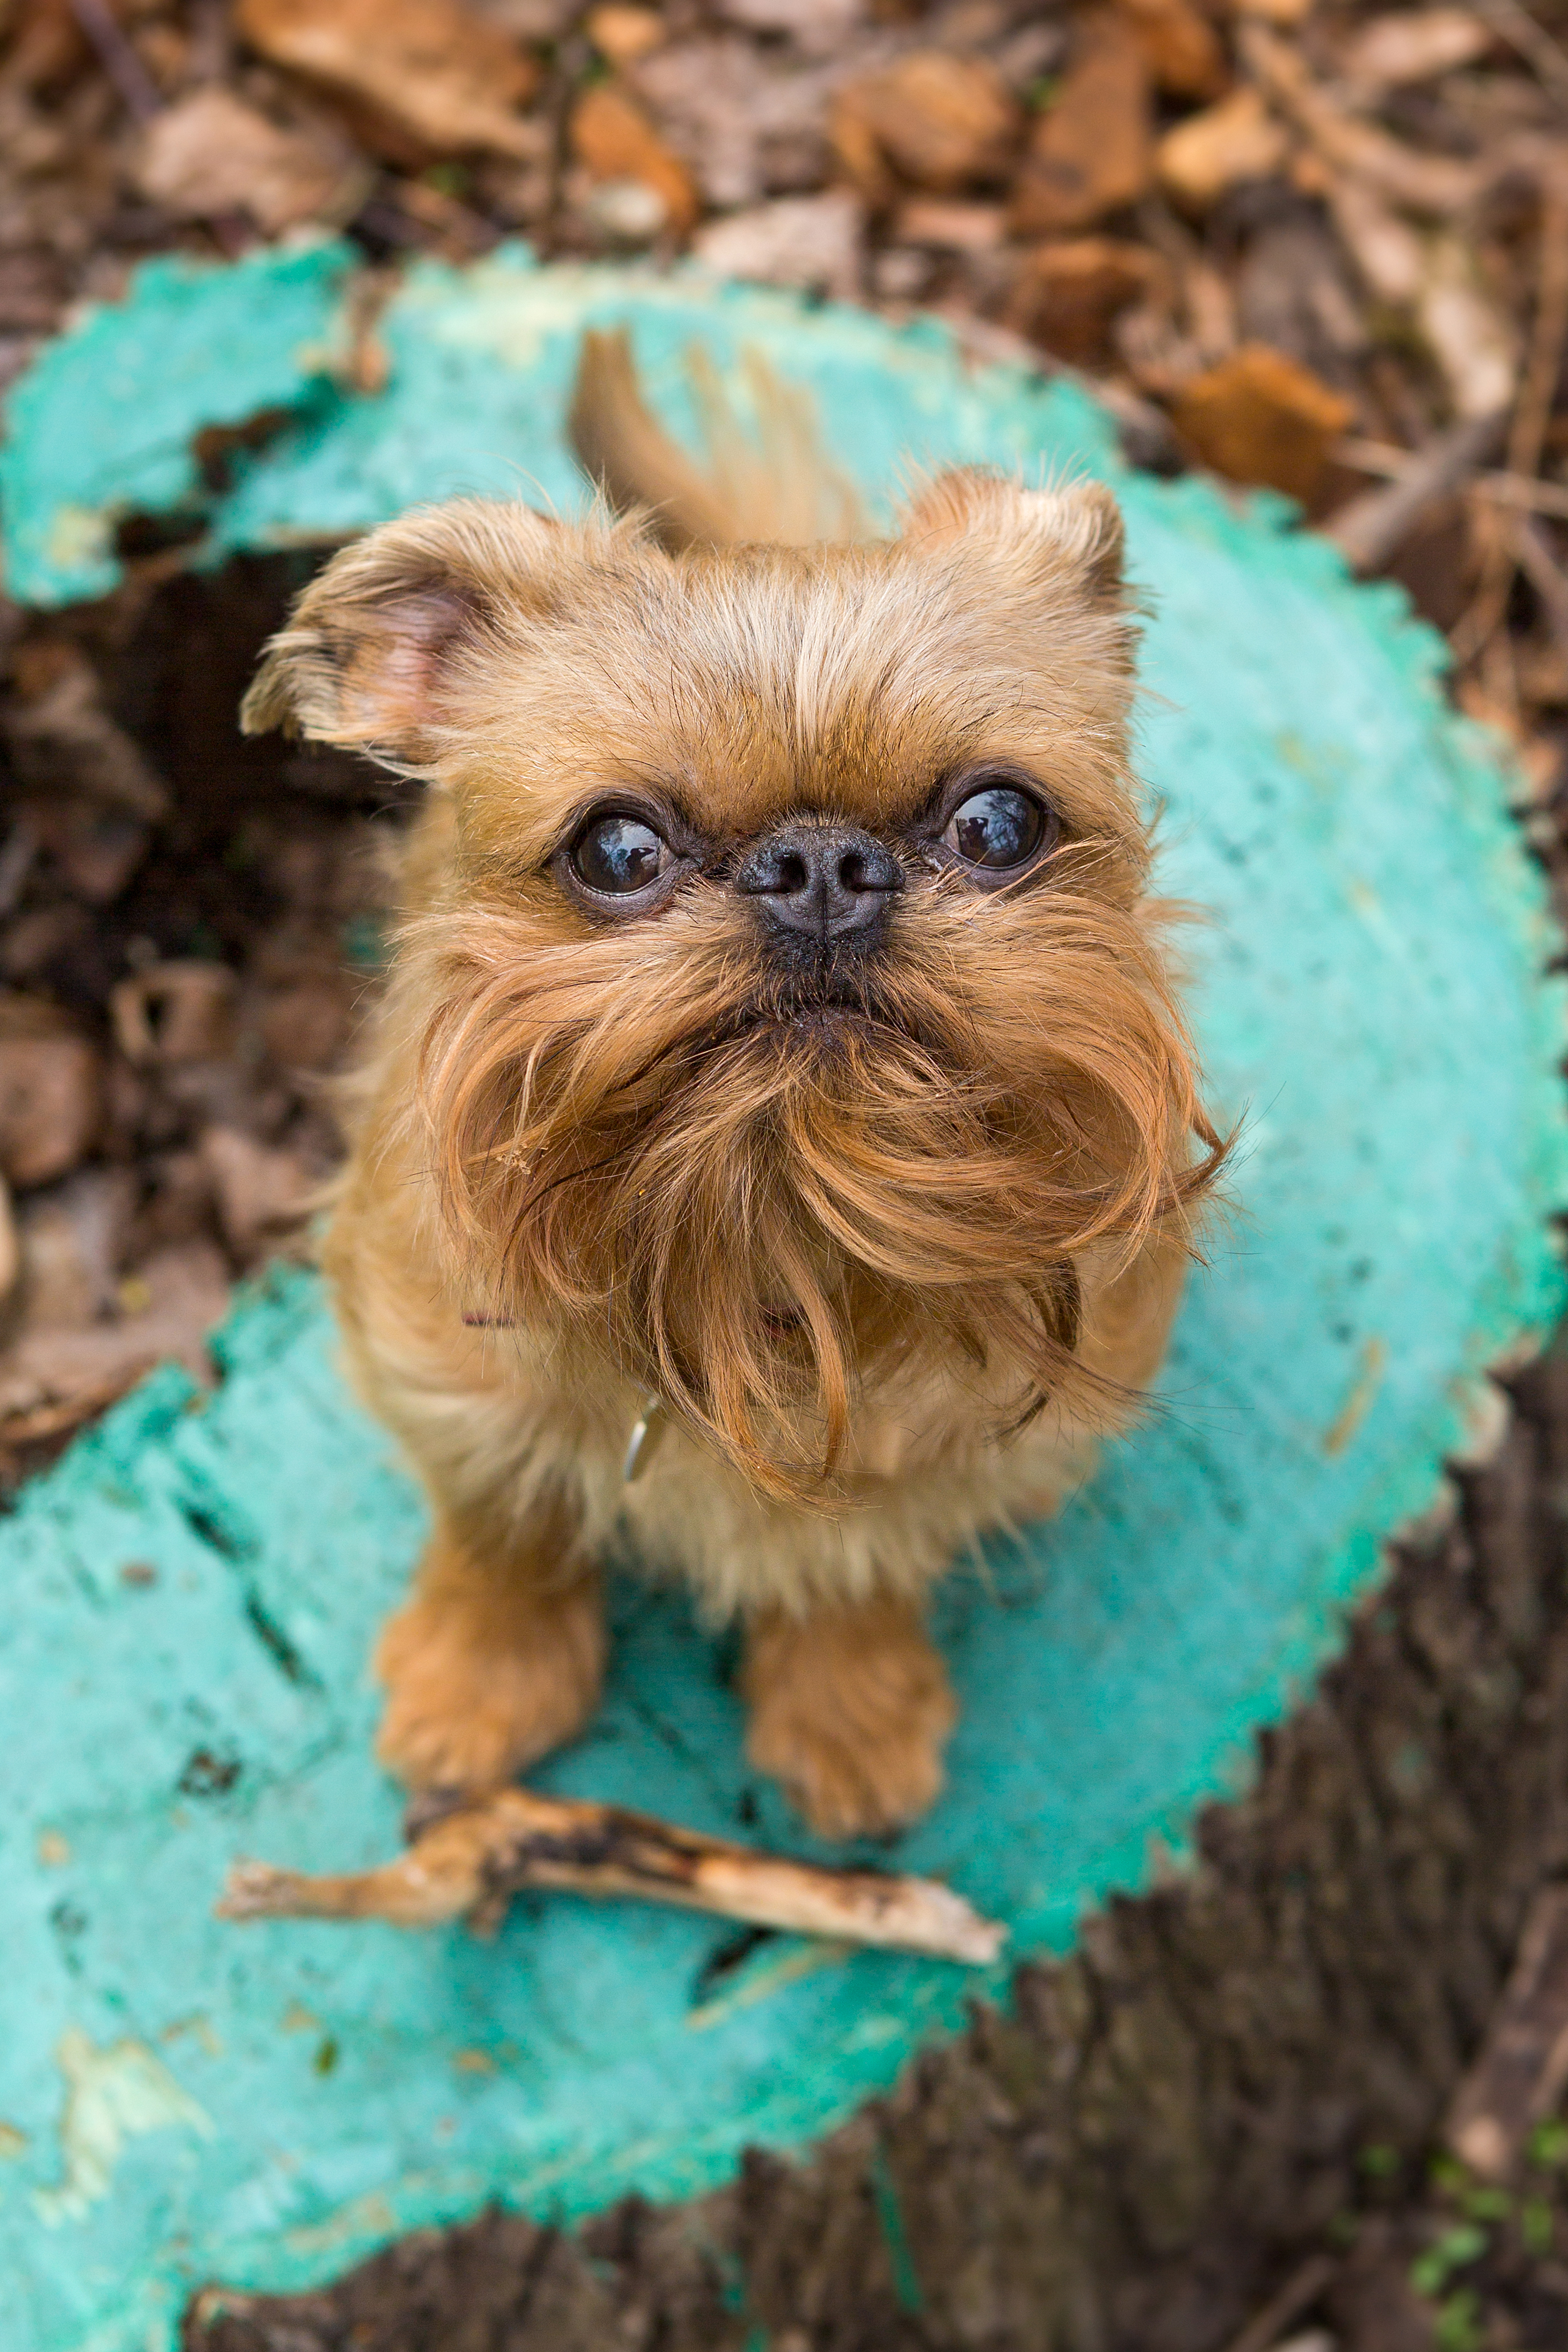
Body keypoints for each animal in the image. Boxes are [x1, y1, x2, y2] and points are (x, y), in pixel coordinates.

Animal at [245, 331, 1222, 1834]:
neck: (768, 1246)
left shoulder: (978, 1445)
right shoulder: (439, 1375)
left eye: (998, 824)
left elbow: (864, 1553)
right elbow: (501, 1521)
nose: (819, 863)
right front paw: (482, 1673)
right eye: (617, 851)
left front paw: (848, 1704)